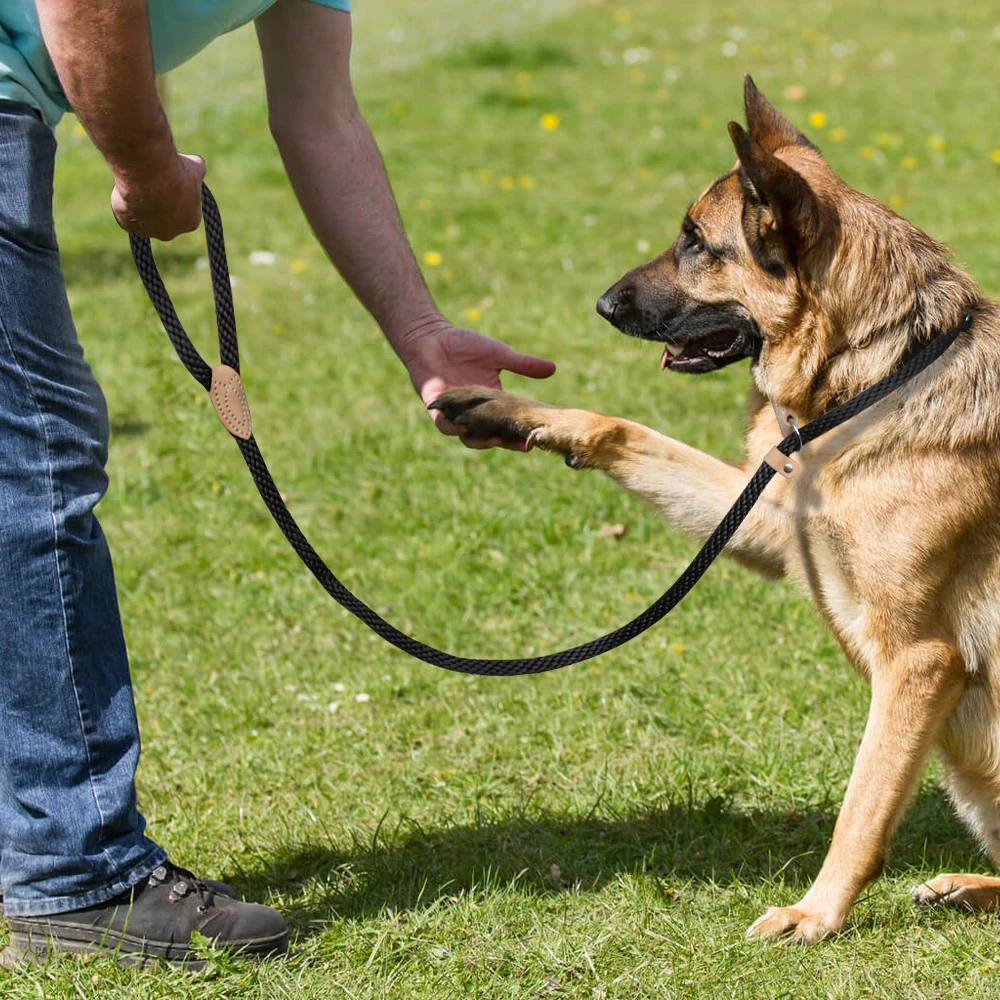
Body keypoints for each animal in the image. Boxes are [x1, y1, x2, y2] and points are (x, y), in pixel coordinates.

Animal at [432, 80, 1000, 944]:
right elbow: (624, 430)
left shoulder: (918, 660)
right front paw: (512, 410)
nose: (601, 304)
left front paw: (816, 912)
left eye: (696, 242)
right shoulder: (766, 523)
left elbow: (861, 808)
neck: (878, 374)